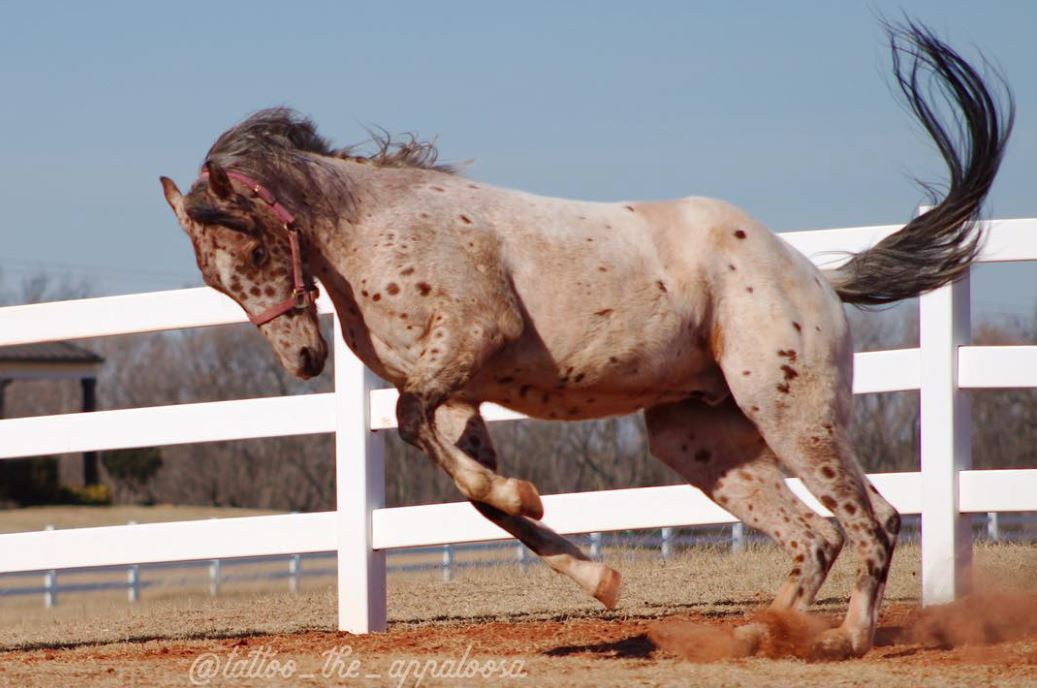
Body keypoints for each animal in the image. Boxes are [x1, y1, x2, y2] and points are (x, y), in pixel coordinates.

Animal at [159, 20, 1012, 655]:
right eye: (218, 283)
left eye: (256, 252)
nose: (305, 359)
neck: (378, 228)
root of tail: (817, 278)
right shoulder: (459, 401)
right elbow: (483, 503)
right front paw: (599, 580)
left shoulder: (465, 348)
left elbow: (429, 443)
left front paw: (535, 503)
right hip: (701, 442)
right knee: (819, 533)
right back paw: (762, 633)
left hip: (791, 415)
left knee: (869, 522)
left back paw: (844, 640)